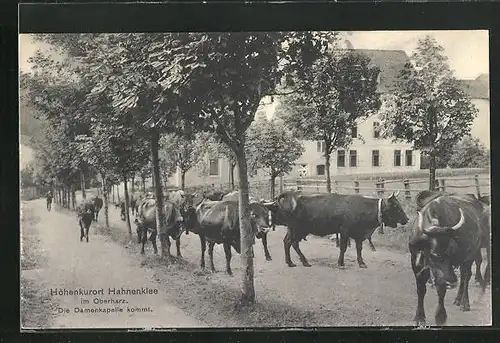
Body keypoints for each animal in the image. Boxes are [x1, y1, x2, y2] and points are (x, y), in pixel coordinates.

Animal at [272, 191, 408, 268]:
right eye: (396, 207)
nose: (407, 219)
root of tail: (295, 197)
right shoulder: (344, 231)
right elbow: (343, 247)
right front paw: (341, 263)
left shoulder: (359, 234)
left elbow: (359, 249)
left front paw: (361, 263)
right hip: (298, 230)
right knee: (293, 243)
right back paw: (304, 262)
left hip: (293, 230)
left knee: (287, 242)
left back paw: (290, 262)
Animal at [410, 192, 488, 326]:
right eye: (435, 254)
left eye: (452, 252)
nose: (451, 282)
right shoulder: (416, 264)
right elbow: (420, 289)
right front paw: (419, 317)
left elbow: (441, 289)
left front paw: (440, 316)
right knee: (463, 276)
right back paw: (458, 299)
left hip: (469, 257)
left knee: (466, 276)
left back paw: (464, 303)